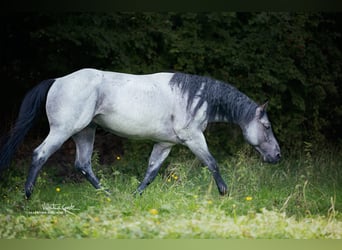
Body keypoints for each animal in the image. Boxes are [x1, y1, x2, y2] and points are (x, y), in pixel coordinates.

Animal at [0, 67, 280, 198]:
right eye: (266, 127)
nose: (277, 156)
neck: (195, 97)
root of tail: (58, 80)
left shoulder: (165, 144)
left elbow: (151, 172)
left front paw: (135, 196)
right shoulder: (193, 138)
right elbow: (212, 163)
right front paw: (224, 193)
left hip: (85, 132)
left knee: (83, 164)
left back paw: (108, 195)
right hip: (64, 130)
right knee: (39, 154)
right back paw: (28, 195)